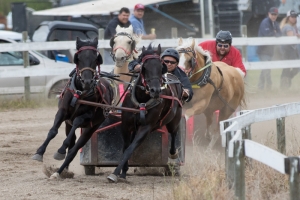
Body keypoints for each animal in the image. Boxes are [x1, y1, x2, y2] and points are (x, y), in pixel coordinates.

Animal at [31, 38, 113, 180]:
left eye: (95, 58)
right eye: (78, 58)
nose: (87, 81)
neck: (80, 93)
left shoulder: (88, 115)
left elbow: (77, 121)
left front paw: (60, 150)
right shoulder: (62, 112)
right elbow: (52, 131)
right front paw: (39, 153)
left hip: (90, 129)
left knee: (73, 150)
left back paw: (59, 171)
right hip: (67, 125)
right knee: (72, 142)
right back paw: (63, 171)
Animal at [106, 44, 184, 183]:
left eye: (161, 67)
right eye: (144, 67)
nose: (155, 90)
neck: (142, 100)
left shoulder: (146, 127)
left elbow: (130, 149)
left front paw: (115, 173)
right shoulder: (126, 125)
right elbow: (125, 147)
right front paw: (122, 172)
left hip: (174, 120)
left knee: (174, 133)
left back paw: (173, 153)